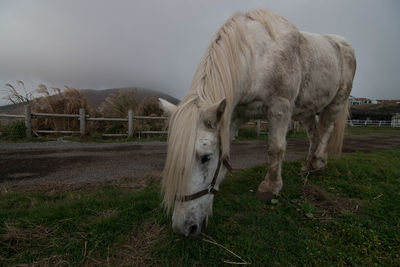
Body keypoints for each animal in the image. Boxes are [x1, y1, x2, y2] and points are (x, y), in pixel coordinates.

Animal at [158, 9, 354, 238]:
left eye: (206, 157)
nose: (184, 228)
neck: (257, 57)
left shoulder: (280, 107)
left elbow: (276, 148)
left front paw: (270, 188)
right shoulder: (235, 114)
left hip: (336, 102)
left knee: (325, 131)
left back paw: (319, 164)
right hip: (306, 110)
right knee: (314, 134)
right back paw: (308, 167)